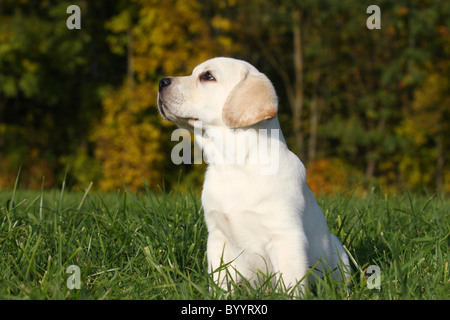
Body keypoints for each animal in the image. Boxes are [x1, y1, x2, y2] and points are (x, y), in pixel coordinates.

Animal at [158, 57, 352, 292]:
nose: (161, 82)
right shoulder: (217, 236)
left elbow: (291, 283)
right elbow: (219, 280)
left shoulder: (286, 235)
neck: (234, 164)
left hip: (338, 250)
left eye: (207, 76)